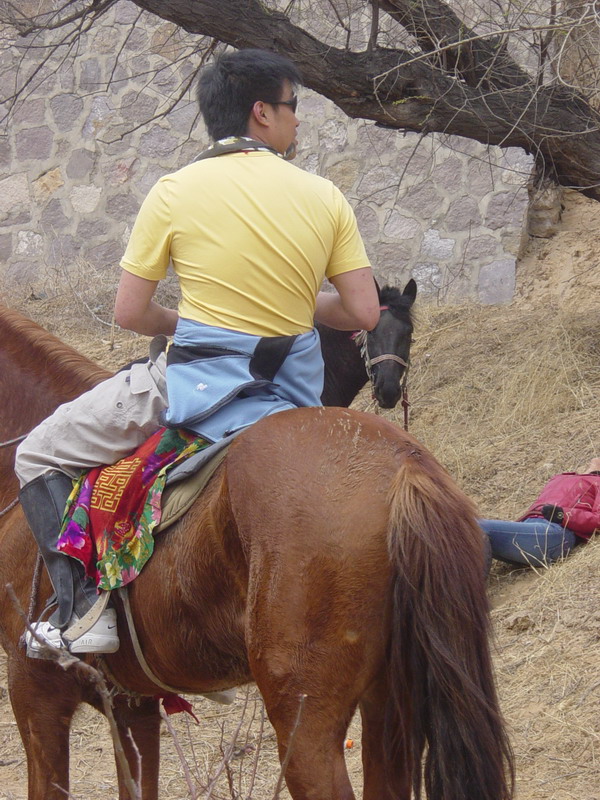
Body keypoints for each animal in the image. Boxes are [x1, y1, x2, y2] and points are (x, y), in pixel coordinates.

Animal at [0, 304, 516, 800]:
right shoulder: (132, 702)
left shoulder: (35, 691)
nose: (389, 387)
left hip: (302, 718)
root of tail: (404, 468)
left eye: (405, 332)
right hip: (389, 703)